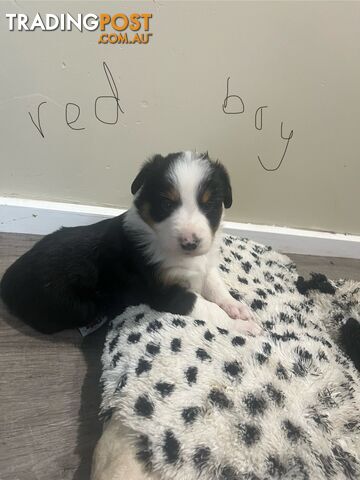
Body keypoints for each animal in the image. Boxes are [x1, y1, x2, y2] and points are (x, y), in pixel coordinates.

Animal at [0, 152, 258, 336]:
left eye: (209, 204)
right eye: (166, 204)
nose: (190, 242)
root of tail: (8, 280)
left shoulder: (205, 265)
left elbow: (216, 286)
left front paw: (237, 308)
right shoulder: (164, 292)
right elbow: (207, 307)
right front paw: (243, 327)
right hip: (71, 306)